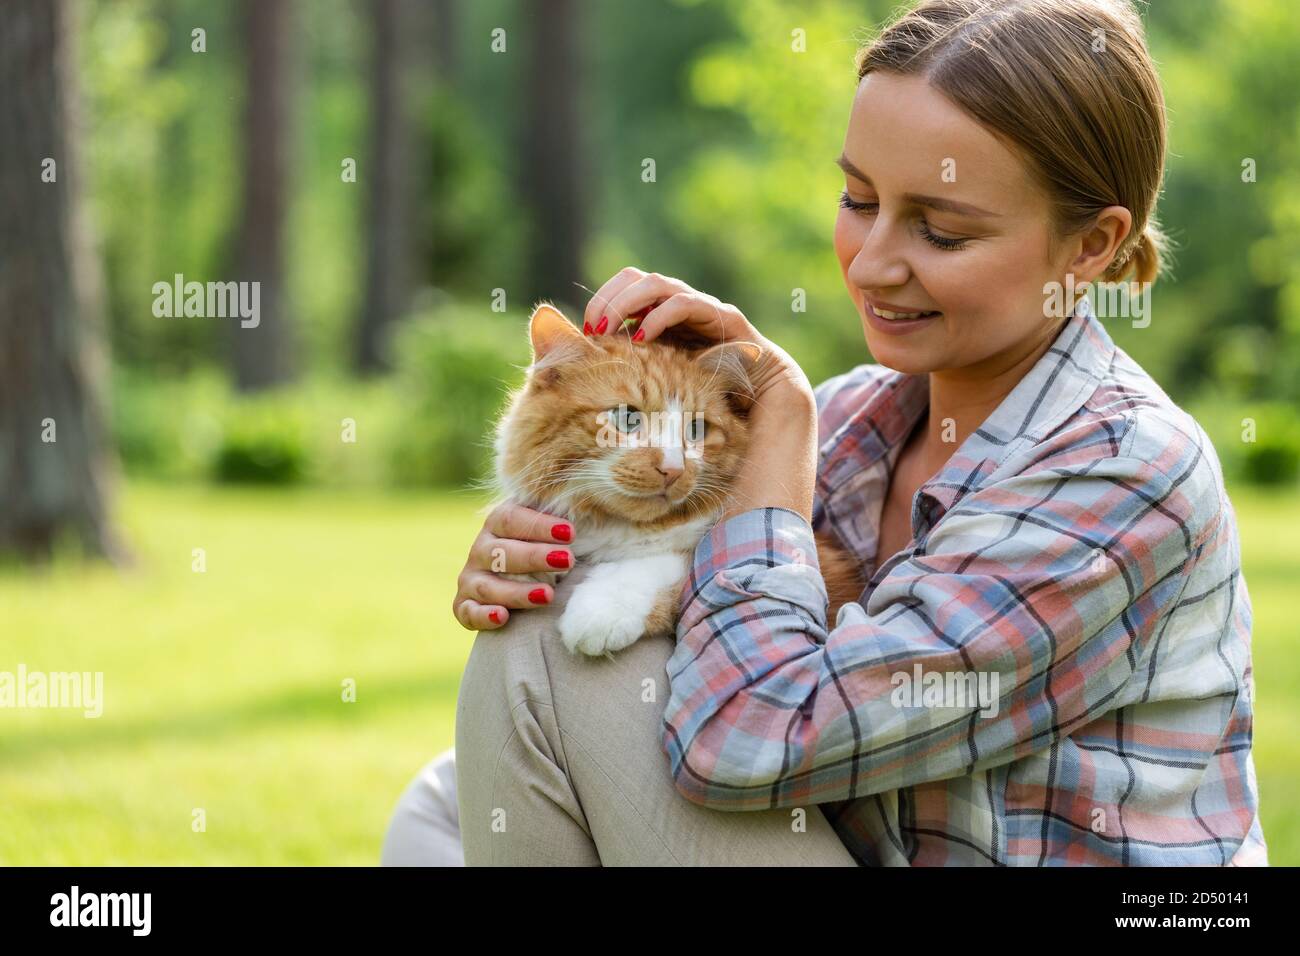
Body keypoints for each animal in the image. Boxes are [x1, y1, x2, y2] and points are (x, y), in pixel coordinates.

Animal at [488, 303, 863, 655]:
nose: (673, 468)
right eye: (627, 418)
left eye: (697, 429)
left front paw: (602, 608)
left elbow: (668, 563)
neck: (619, 529)